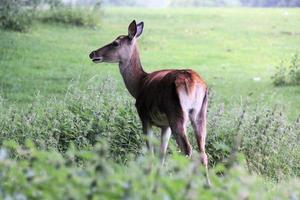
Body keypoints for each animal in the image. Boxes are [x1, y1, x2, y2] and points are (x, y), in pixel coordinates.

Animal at [90, 19, 210, 184]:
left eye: (115, 43)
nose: (92, 53)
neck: (139, 84)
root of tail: (194, 82)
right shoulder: (165, 125)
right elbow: (161, 154)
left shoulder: (144, 116)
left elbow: (150, 152)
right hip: (200, 113)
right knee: (203, 153)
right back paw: (208, 185)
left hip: (177, 114)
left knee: (188, 150)